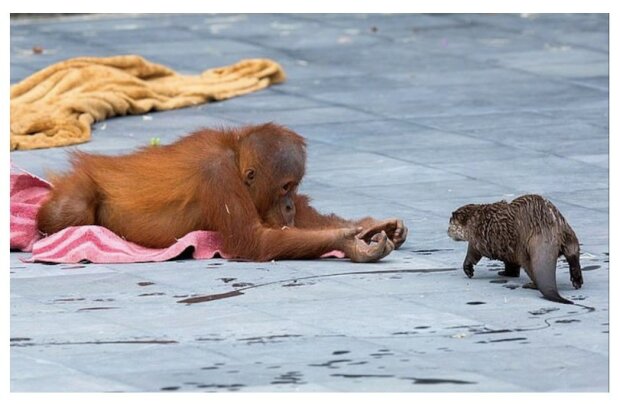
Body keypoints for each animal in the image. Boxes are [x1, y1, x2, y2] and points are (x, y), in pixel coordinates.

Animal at [448, 194, 584, 304]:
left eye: (450, 223)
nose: (447, 231)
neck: (475, 220)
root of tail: (547, 230)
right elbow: (511, 264)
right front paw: (506, 273)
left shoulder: (477, 240)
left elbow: (472, 254)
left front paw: (468, 270)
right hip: (567, 232)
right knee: (573, 252)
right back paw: (577, 281)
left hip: (522, 249)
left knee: (531, 268)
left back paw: (531, 285)